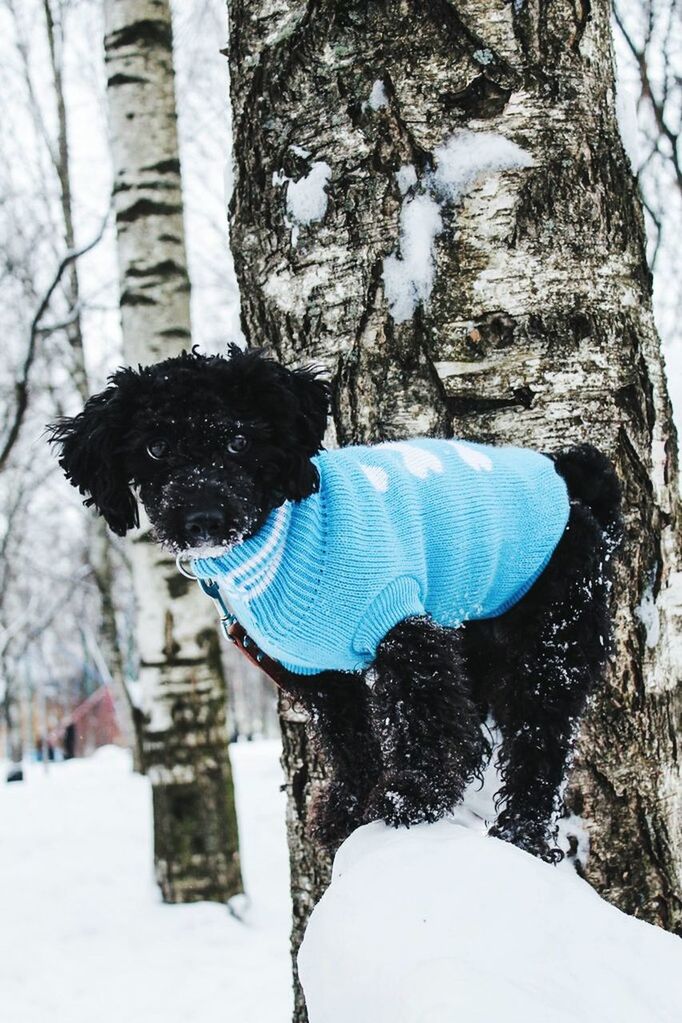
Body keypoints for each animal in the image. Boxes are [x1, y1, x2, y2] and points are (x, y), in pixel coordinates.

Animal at [50, 347, 621, 859]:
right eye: (156, 448)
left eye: (238, 441)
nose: (203, 520)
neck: (278, 540)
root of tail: (572, 486)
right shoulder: (316, 674)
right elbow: (351, 740)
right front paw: (351, 806)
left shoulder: (401, 627)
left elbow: (425, 720)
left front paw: (411, 797)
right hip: (475, 634)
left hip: (553, 641)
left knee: (540, 740)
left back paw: (522, 833)